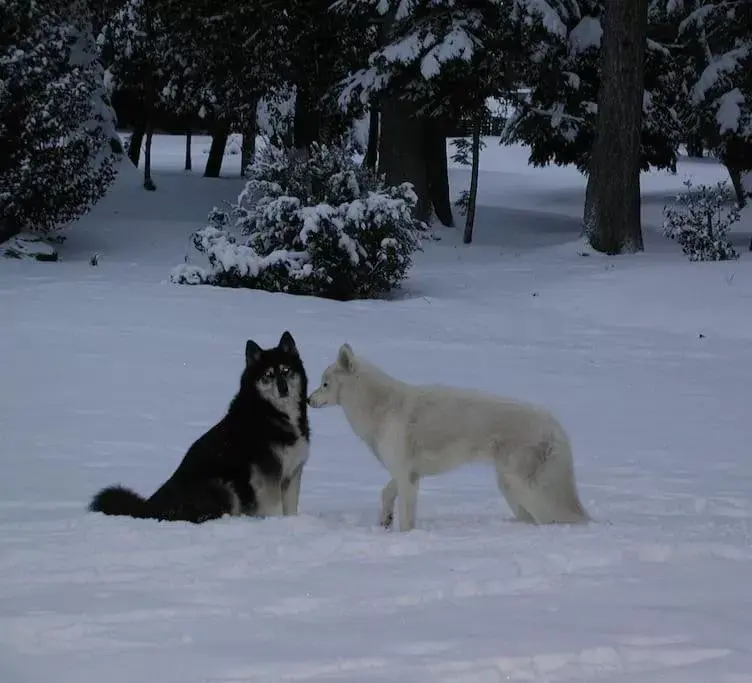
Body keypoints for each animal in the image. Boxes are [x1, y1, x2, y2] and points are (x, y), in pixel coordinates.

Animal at [308, 344, 592, 532]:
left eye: (324, 384)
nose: (308, 400)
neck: (381, 407)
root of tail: (556, 427)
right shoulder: (408, 473)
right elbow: (386, 492)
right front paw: (385, 520)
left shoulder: (406, 475)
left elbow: (406, 518)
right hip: (509, 486)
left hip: (523, 486)